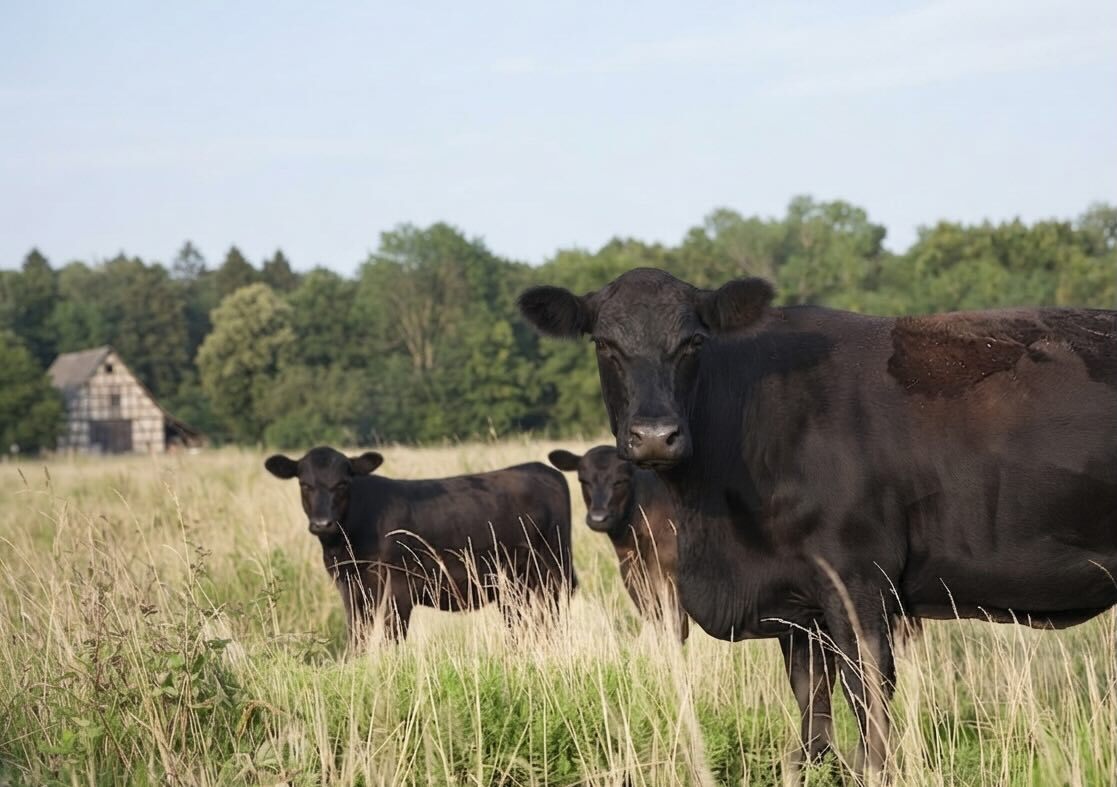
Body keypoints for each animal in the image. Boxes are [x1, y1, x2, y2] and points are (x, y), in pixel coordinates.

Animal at [265, 447, 577, 643]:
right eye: (304, 484)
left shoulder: (399, 588)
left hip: (552, 574)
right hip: (514, 585)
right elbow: (358, 638)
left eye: (342, 483)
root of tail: (540, 468)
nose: (322, 523)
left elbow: (391, 639)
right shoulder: (352, 588)